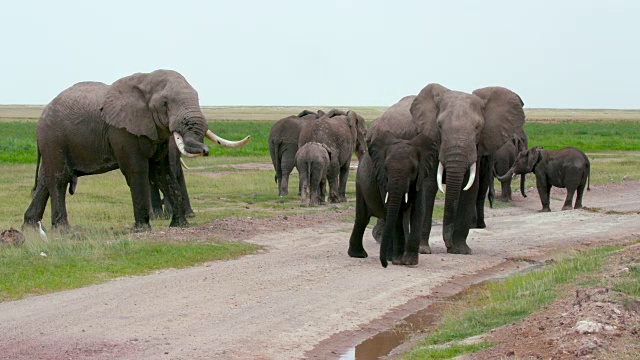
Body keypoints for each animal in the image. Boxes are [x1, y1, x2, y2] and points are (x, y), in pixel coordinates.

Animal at [22, 69, 249, 232]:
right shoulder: (122, 131)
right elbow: (137, 170)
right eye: (165, 103)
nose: (205, 150)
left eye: (197, 98)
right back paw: (63, 230)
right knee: (59, 178)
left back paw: (30, 227)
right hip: (53, 138)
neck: (146, 81)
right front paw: (142, 229)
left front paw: (180, 225)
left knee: (46, 178)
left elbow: (162, 173)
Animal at [412, 83, 528, 253]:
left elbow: (470, 187)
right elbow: (429, 186)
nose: (449, 246)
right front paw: (423, 250)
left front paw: (461, 251)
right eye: (439, 125)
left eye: (478, 127)